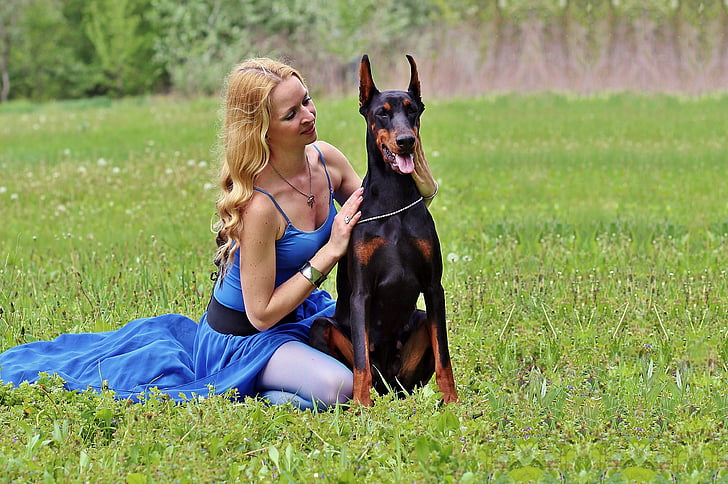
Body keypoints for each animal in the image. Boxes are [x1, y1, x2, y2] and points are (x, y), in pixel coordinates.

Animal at [310, 54, 458, 406]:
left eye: (412, 110)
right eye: (382, 113)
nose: (406, 141)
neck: (394, 197)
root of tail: (387, 381)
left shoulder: (433, 288)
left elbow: (444, 354)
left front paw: (452, 402)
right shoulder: (361, 293)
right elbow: (361, 360)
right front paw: (362, 408)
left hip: (418, 325)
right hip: (321, 327)